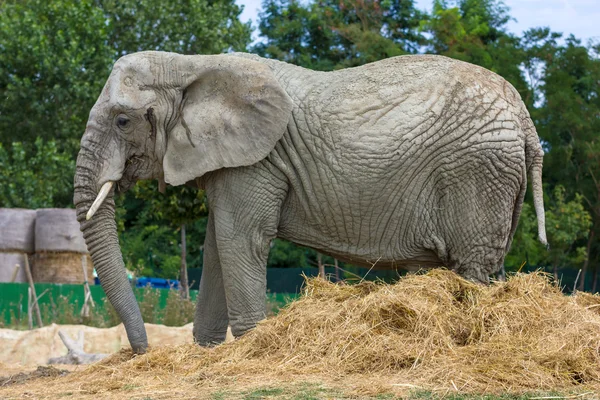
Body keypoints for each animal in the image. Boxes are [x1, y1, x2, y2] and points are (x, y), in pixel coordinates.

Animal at [72, 50, 548, 354]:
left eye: (122, 120)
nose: (141, 352)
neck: (190, 64)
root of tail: (525, 115)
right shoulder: (232, 163)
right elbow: (216, 248)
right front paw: (205, 353)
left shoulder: (257, 160)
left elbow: (240, 239)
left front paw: (252, 348)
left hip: (478, 171)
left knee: (471, 265)